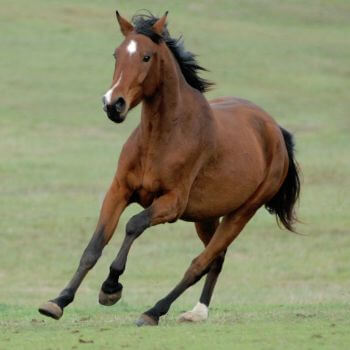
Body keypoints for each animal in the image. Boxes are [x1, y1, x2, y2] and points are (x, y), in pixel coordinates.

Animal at [39, 11, 300, 328]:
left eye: (147, 57)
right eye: (116, 54)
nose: (113, 104)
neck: (161, 138)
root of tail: (276, 130)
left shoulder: (172, 204)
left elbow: (133, 225)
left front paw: (111, 288)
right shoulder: (118, 191)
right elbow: (94, 247)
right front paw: (58, 302)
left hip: (241, 213)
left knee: (200, 263)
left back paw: (154, 311)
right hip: (207, 216)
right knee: (217, 258)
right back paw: (197, 312)